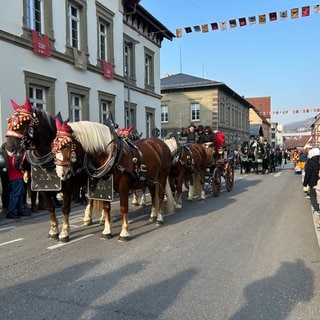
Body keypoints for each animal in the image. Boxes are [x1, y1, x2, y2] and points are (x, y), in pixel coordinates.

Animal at [5, 99, 95, 241]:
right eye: (10, 121)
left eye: (24, 122)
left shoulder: (68, 186)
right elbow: (50, 207)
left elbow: (65, 208)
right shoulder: (43, 187)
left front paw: (64, 232)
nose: (9, 148)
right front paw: (53, 230)